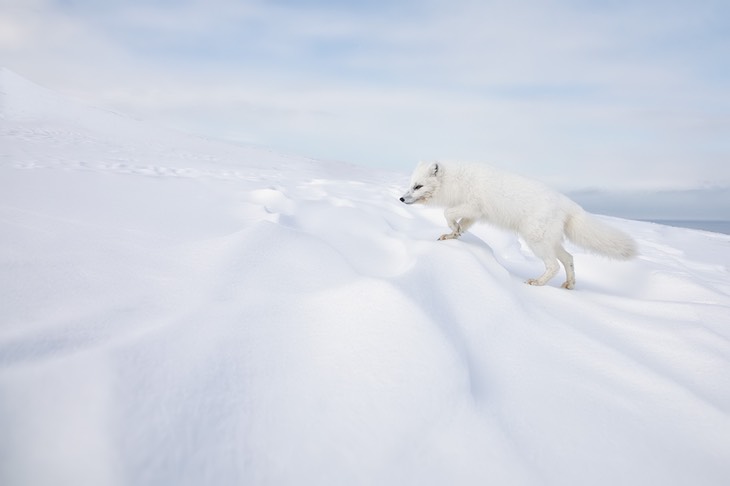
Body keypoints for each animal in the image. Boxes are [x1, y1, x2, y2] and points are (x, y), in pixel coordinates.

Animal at [400, 161, 636, 288]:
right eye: (410, 185)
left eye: (418, 186)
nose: (401, 199)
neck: (456, 180)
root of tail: (567, 203)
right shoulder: (475, 213)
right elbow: (461, 223)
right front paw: (453, 234)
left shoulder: (472, 205)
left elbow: (447, 212)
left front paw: (453, 229)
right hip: (550, 240)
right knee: (569, 259)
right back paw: (569, 285)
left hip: (536, 240)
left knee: (554, 265)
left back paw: (537, 283)